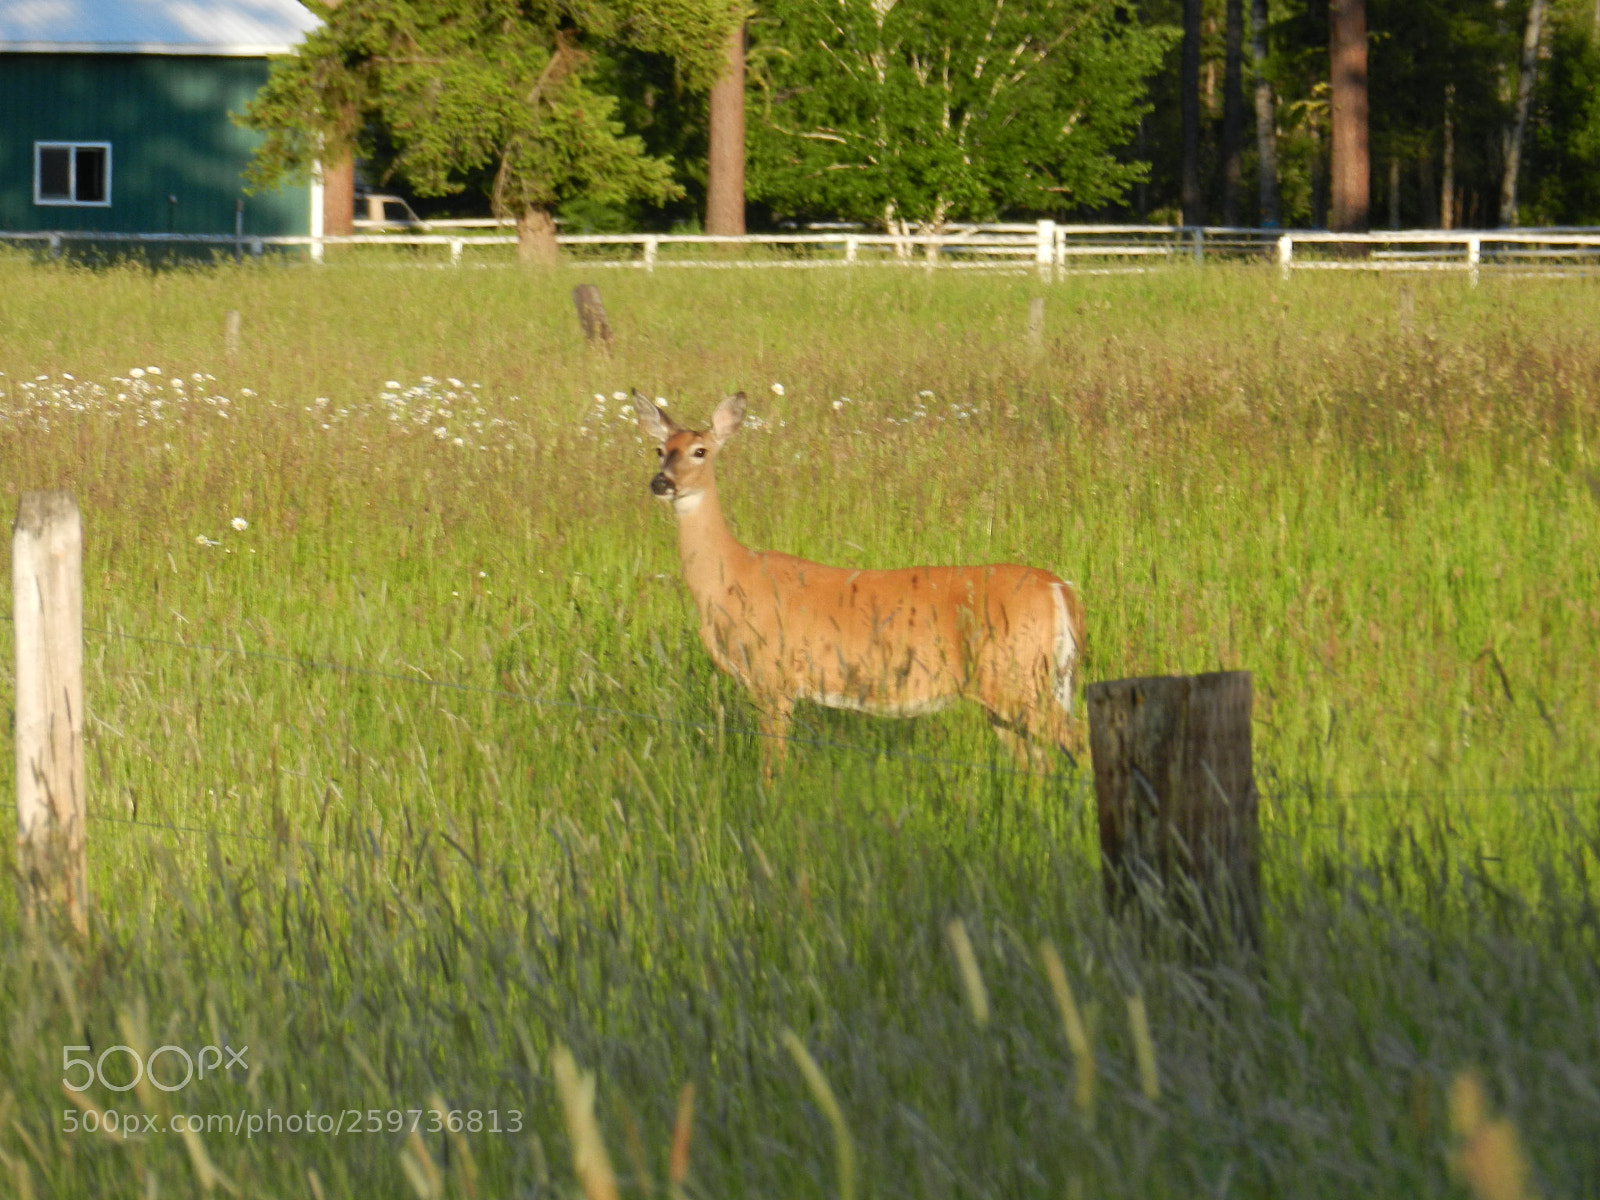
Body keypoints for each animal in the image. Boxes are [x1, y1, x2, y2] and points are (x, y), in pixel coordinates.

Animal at [640, 392, 1088, 780]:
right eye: (660, 449)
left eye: (700, 451)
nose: (661, 483)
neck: (731, 579)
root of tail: (1059, 588)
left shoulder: (774, 675)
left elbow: (772, 764)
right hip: (1011, 687)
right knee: (1039, 763)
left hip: (1015, 675)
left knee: (1077, 741)